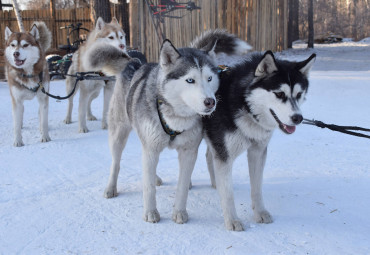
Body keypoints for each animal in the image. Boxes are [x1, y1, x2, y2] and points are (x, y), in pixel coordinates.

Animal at [85, 29, 250, 224]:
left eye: (209, 78)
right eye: (190, 80)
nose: (211, 102)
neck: (176, 117)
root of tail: (135, 63)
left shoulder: (188, 151)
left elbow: (182, 184)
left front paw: (179, 212)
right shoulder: (151, 148)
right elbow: (148, 187)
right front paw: (150, 212)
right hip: (119, 133)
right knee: (116, 162)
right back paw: (111, 187)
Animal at [202, 49, 316, 231]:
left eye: (299, 94)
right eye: (279, 94)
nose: (298, 118)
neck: (245, 105)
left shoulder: (257, 151)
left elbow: (256, 187)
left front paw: (260, 213)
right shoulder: (224, 155)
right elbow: (228, 194)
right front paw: (232, 220)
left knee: (208, 156)